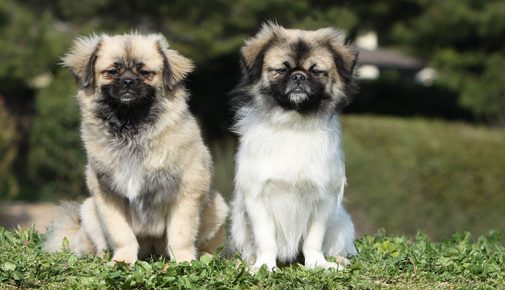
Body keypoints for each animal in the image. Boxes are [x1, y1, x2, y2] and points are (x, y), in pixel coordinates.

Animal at [44, 32, 229, 264]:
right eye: (112, 72)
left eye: (145, 73)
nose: (128, 81)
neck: (131, 129)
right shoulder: (108, 197)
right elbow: (122, 235)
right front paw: (122, 262)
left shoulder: (187, 193)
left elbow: (181, 235)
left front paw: (184, 262)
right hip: (88, 210)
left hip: (218, 207)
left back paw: (204, 256)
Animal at [230, 23, 356, 272]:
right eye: (281, 69)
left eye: (316, 71)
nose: (298, 76)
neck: (294, 125)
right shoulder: (257, 196)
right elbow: (266, 240)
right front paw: (264, 267)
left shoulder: (323, 199)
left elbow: (313, 240)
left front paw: (317, 264)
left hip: (342, 223)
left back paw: (339, 259)